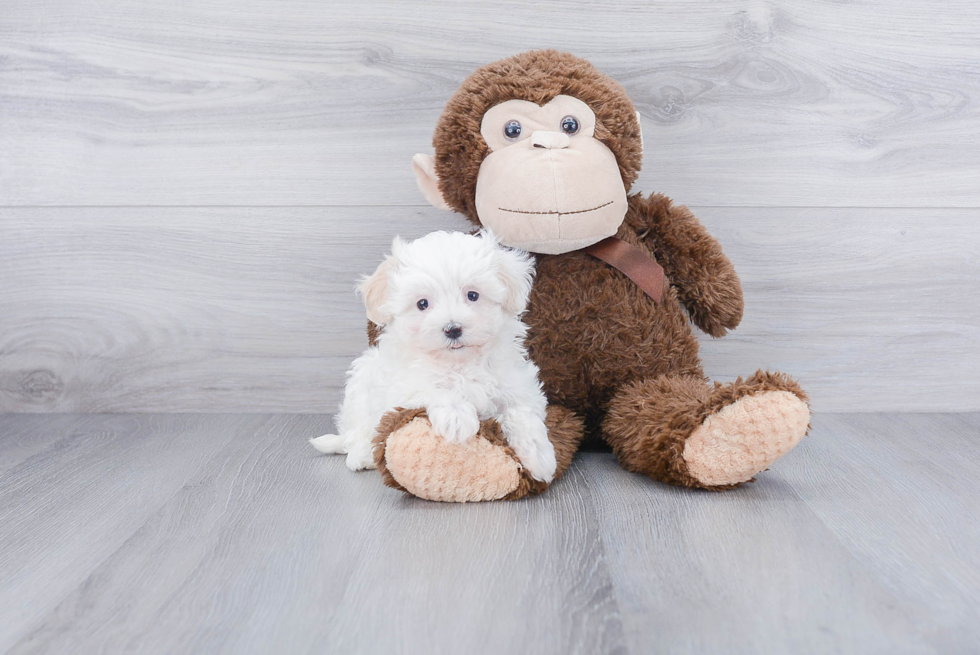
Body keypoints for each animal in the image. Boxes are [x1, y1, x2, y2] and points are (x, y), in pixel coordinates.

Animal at [314, 229, 560, 482]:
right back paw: (361, 455)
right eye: (422, 303)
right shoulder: (402, 388)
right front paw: (457, 417)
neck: (459, 364)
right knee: (358, 432)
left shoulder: (520, 387)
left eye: (473, 295)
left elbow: (523, 413)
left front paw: (539, 456)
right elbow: (433, 387)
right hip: (360, 387)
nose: (453, 329)